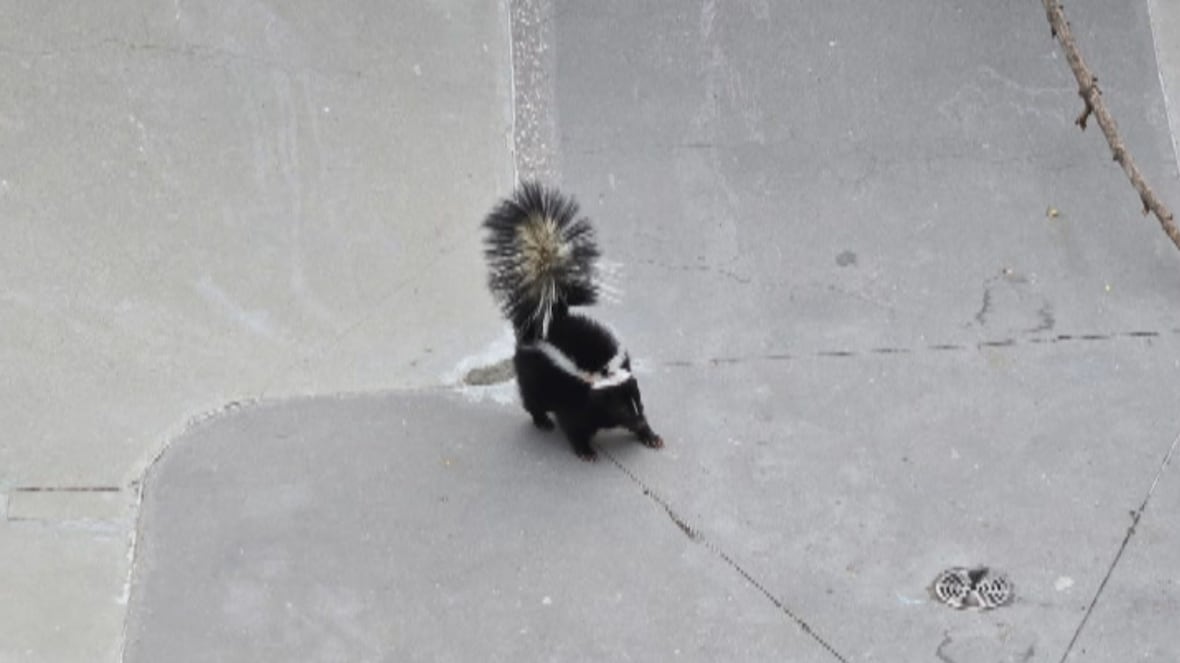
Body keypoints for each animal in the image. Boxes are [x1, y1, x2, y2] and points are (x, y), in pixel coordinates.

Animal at [479, 180, 665, 460]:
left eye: (638, 400)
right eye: (621, 407)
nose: (640, 420)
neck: (601, 372)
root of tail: (547, 319)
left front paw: (650, 436)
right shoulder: (573, 396)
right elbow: (574, 424)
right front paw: (585, 450)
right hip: (533, 375)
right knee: (532, 399)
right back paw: (542, 421)